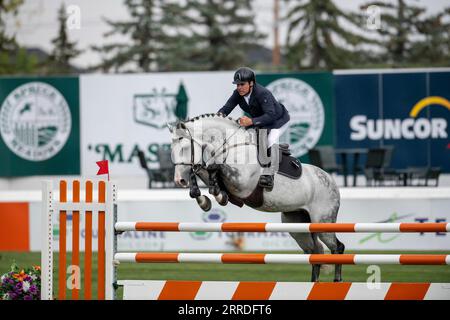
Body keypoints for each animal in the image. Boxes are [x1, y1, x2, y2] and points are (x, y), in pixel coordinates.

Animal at [169, 114, 344, 282]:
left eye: (184, 148)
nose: (179, 180)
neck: (231, 146)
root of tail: (331, 180)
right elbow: (202, 171)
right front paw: (205, 199)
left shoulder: (242, 182)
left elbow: (213, 167)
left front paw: (216, 194)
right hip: (297, 224)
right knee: (315, 251)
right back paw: (314, 283)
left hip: (323, 221)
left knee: (337, 247)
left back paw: (337, 280)